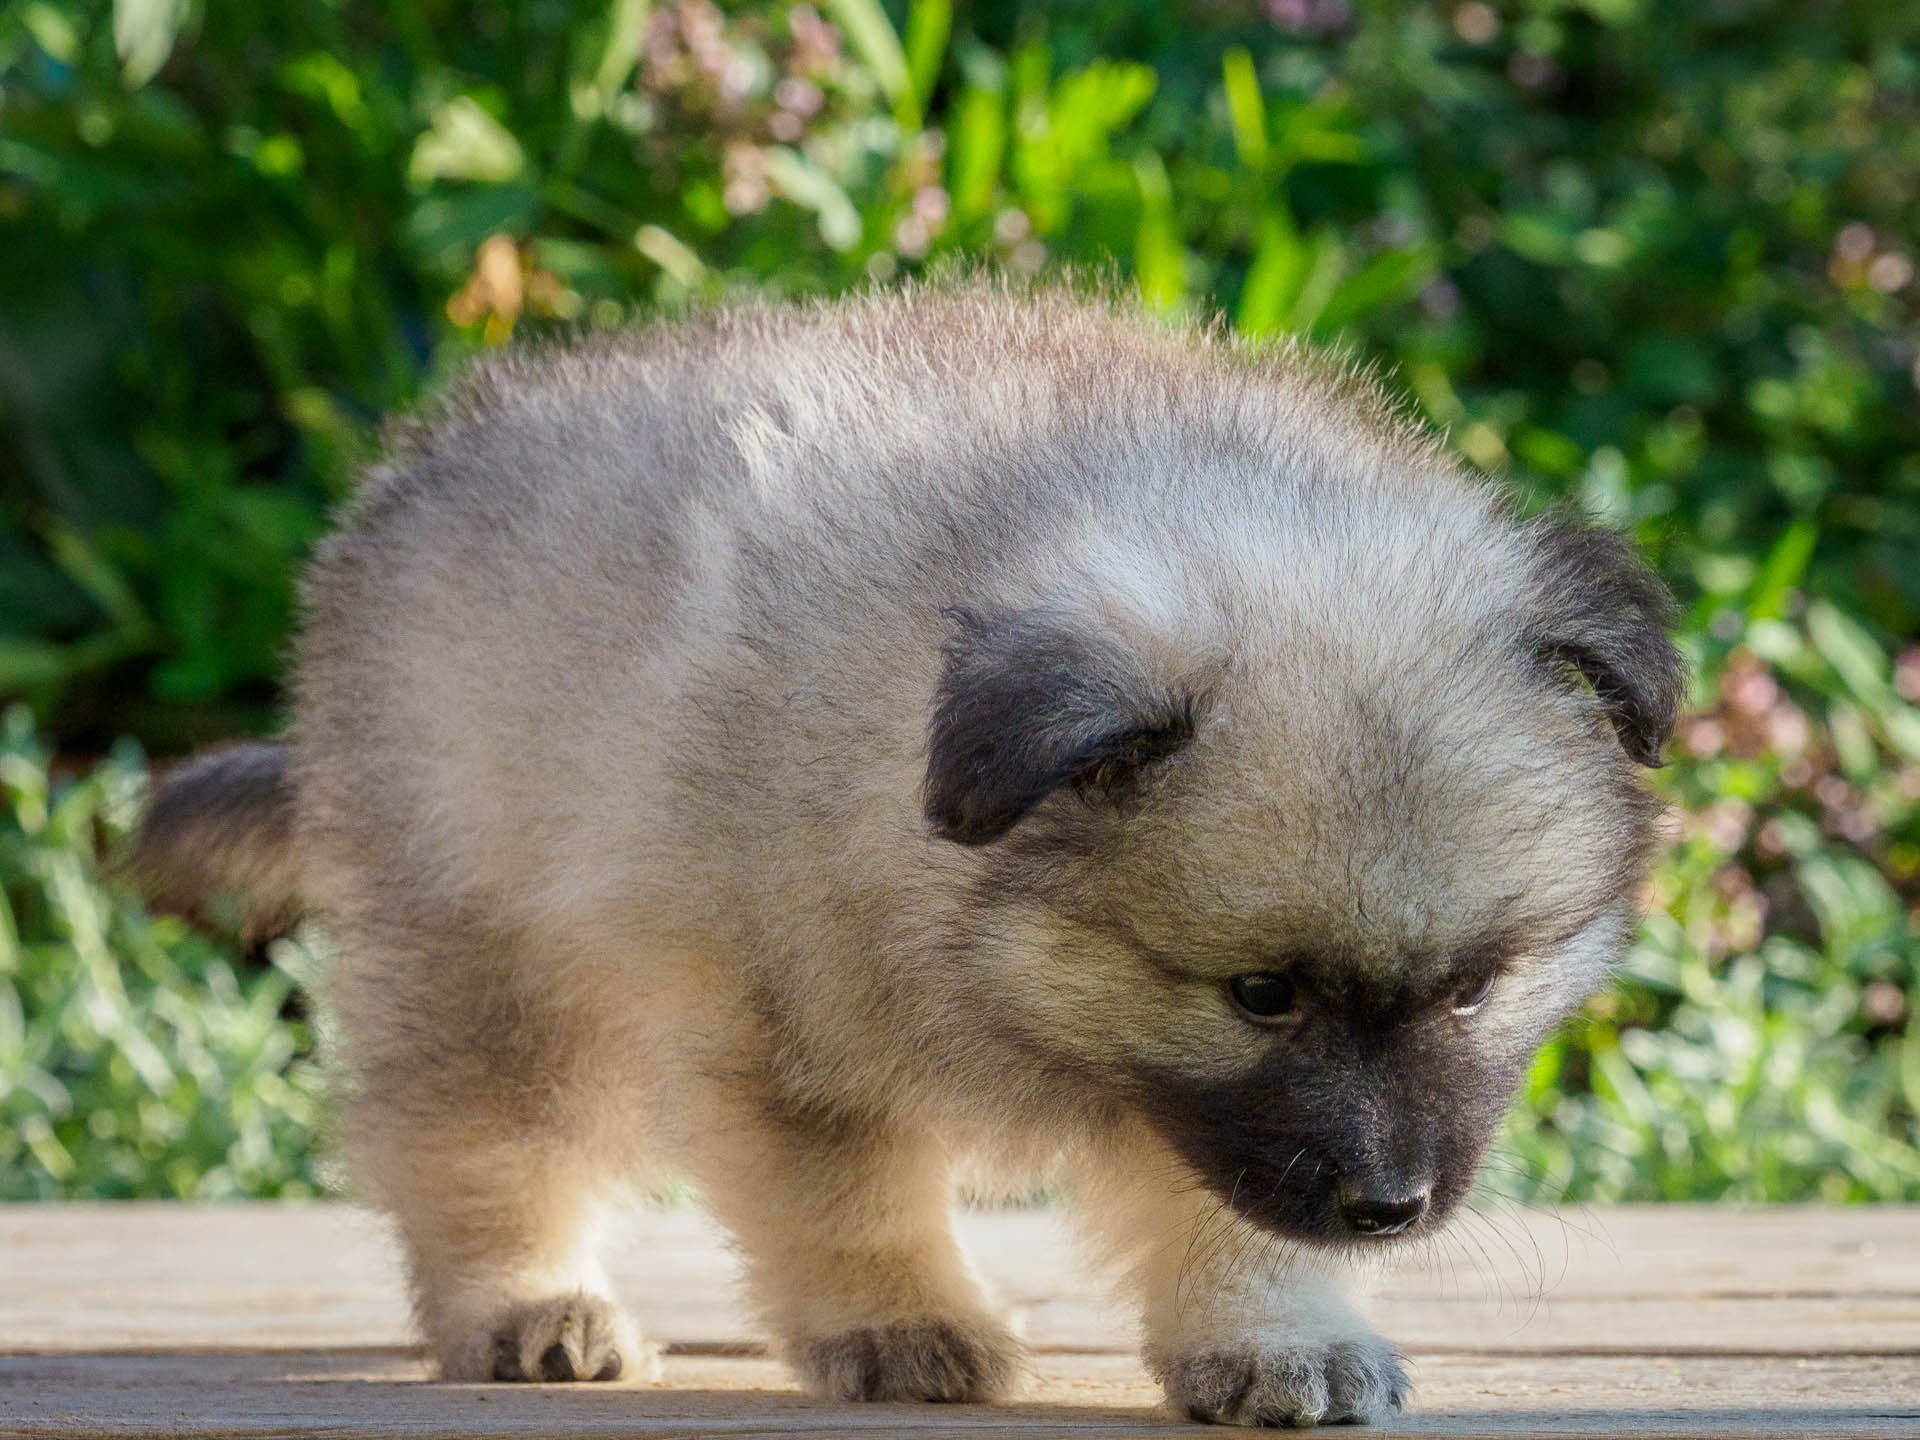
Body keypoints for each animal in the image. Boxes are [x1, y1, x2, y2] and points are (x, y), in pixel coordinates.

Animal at [131, 288, 1681, 1428]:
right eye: (1262, 994)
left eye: (1477, 986)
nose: (1389, 1207)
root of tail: (402, 485)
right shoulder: (779, 1026)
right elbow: (847, 1196)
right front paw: (904, 1320)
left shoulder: (1203, 1110)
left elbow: (1229, 1210)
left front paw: (1271, 1335)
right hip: (487, 948)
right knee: (474, 1144)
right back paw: (525, 1304)